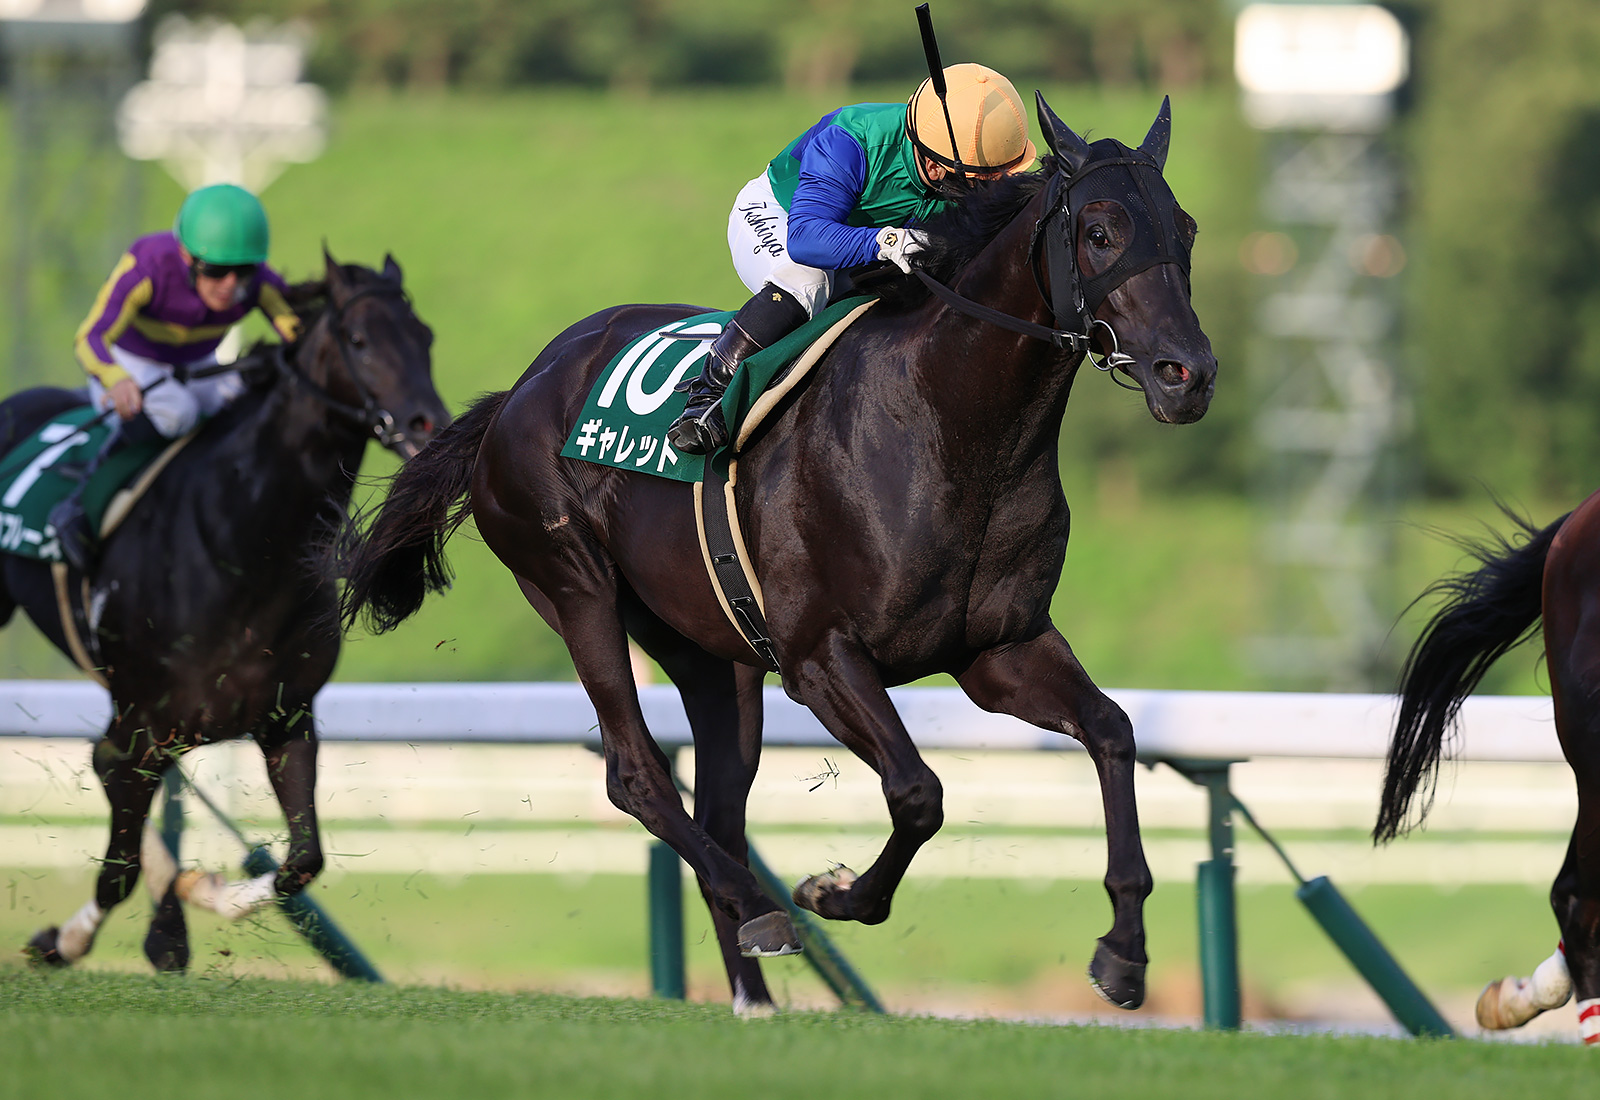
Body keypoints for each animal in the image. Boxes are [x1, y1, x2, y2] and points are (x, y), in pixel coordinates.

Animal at [17, 251, 451, 972]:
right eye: (360, 340)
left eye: (425, 337)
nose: (427, 427)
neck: (244, 549)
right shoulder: (142, 722)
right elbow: (117, 863)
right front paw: (65, 939)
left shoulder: (286, 716)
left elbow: (302, 860)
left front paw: (207, 891)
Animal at [334, 96, 1209, 1016]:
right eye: (1100, 232)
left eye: (1184, 229)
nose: (1188, 374)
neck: (953, 425)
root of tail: (520, 390)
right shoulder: (820, 657)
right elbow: (918, 793)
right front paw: (837, 893)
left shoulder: (998, 651)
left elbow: (1112, 732)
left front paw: (1124, 948)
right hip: (573, 586)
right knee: (637, 774)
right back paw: (760, 908)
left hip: (711, 653)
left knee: (720, 807)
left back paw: (751, 987)